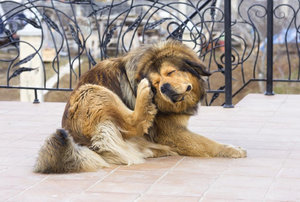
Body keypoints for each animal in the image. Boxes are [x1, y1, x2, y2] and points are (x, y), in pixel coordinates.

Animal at [34, 40, 246, 173]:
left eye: (170, 72)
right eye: (156, 83)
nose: (163, 88)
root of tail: (81, 144)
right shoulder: (171, 132)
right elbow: (207, 143)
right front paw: (231, 150)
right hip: (91, 91)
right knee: (132, 123)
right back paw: (143, 99)